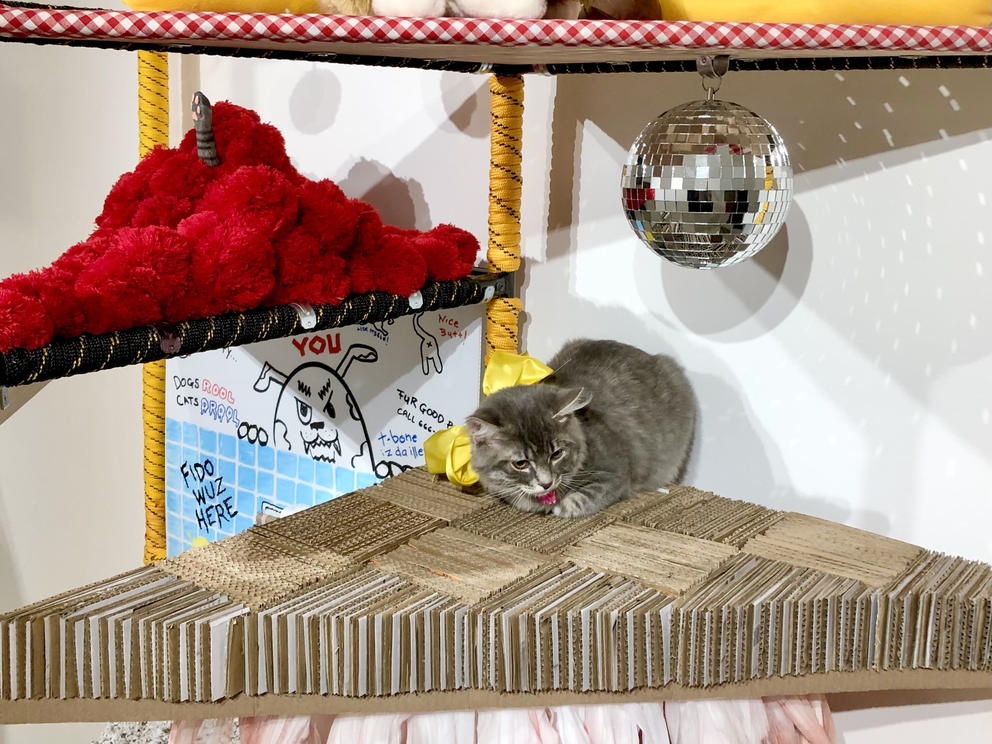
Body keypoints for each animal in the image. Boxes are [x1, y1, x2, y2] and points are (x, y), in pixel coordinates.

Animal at [466, 338, 692, 516]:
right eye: (520, 463)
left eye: (556, 454)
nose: (546, 483)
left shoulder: (614, 473)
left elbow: (579, 500)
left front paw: (558, 506)